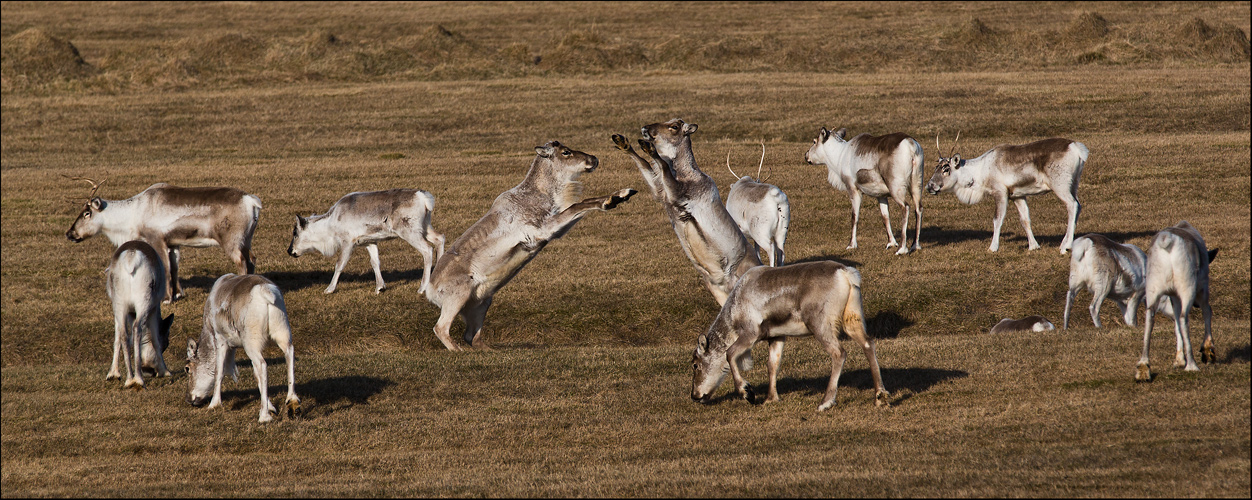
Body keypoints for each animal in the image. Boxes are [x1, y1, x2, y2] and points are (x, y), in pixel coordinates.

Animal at [290, 190, 448, 295]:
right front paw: (380, 287)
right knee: (440, 238)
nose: (290, 251)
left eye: (295, 232)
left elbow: (339, 264)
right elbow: (375, 262)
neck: (330, 225)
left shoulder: (348, 242)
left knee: (427, 250)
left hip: (409, 231)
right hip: (425, 227)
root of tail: (423, 198)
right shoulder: (370, 241)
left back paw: (422, 288)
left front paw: (329, 289)